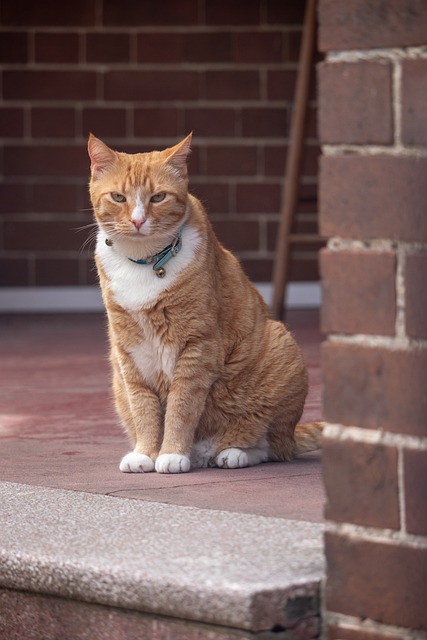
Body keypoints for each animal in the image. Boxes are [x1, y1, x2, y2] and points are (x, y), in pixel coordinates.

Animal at [88, 134, 324, 476]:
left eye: (158, 197)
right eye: (118, 197)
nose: (138, 220)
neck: (144, 260)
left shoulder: (197, 345)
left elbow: (182, 405)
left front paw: (172, 453)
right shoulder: (129, 349)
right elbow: (143, 406)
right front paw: (146, 453)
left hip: (282, 350)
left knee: (269, 445)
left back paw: (233, 453)